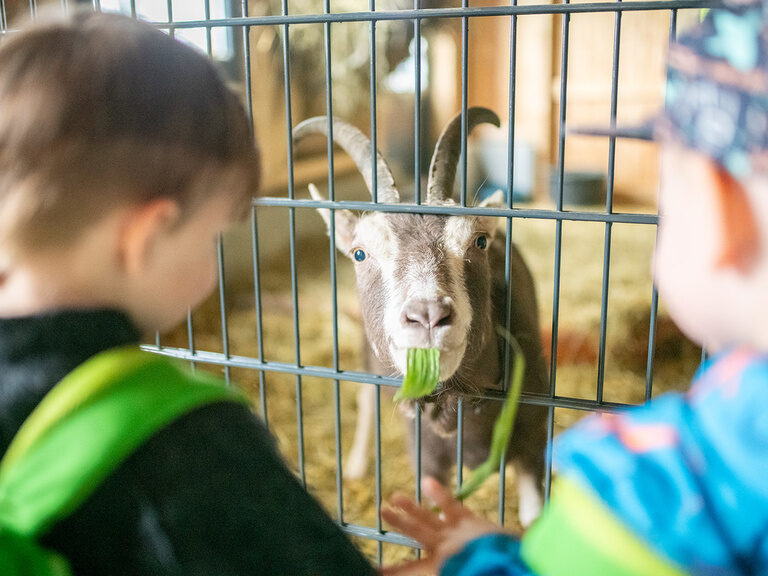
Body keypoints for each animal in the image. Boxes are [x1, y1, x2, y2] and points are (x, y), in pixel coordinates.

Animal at [293, 107, 548, 526]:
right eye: (360, 253)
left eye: (480, 242)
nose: (428, 315)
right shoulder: (425, 457)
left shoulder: (533, 436)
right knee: (366, 399)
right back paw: (356, 465)